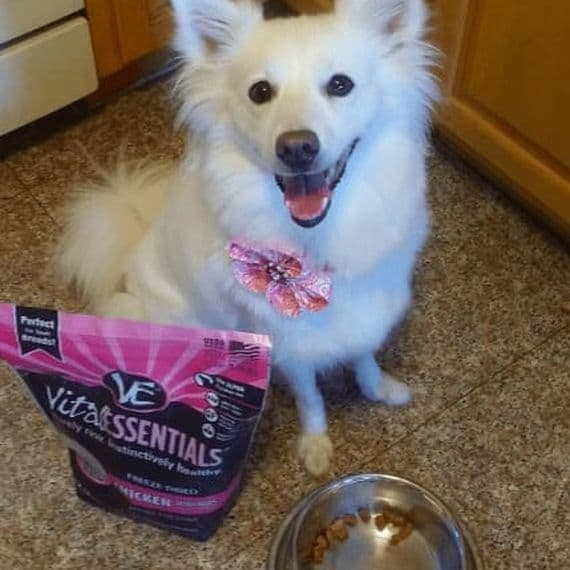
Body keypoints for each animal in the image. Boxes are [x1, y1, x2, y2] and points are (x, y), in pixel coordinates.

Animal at [57, 0, 437, 476]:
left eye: (340, 84)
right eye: (260, 92)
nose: (297, 147)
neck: (317, 239)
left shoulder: (369, 307)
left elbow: (364, 353)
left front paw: (380, 388)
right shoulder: (287, 344)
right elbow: (310, 397)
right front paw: (315, 445)